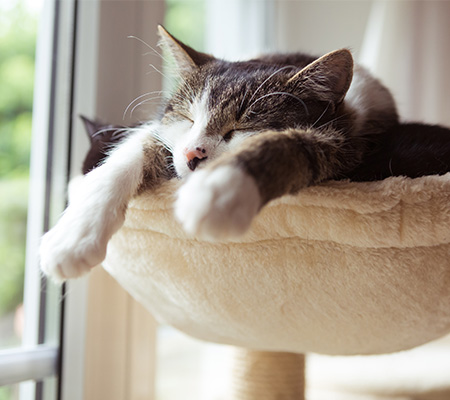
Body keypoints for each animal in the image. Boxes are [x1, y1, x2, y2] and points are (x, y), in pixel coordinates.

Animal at [42, 25, 436, 282]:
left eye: (240, 129)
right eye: (188, 118)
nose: (193, 155)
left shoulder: (341, 144)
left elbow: (291, 147)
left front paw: (219, 192)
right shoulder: (162, 135)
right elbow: (135, 148)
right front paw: (72, 239)